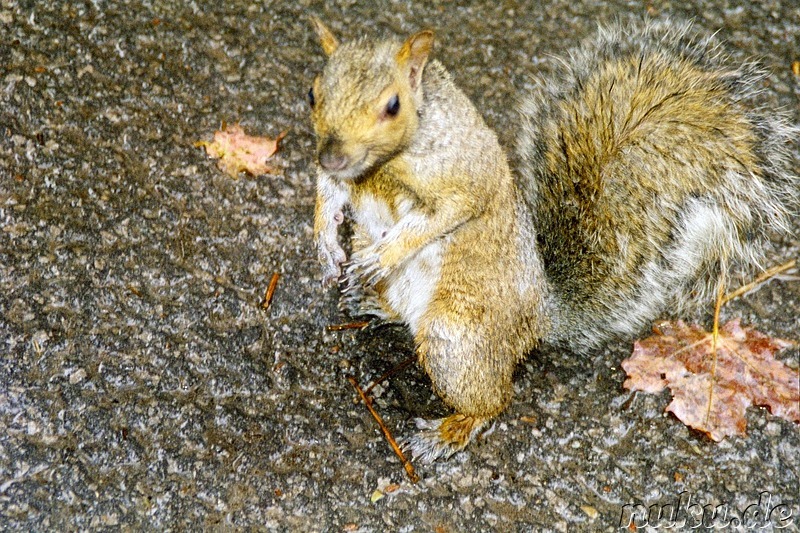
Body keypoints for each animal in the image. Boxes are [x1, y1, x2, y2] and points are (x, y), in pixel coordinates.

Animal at [304, 14, 792, 460]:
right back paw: (371, 301)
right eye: (312, 92)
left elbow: (444, 214)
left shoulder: (465, 177)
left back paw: (448, 430)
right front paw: (325, 242)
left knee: (495, 400)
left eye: (392, 105)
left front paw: (386, 252)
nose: (332, 156)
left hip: (455, 338)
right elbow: (328, 194)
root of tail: (538, 318)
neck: (381, 168)